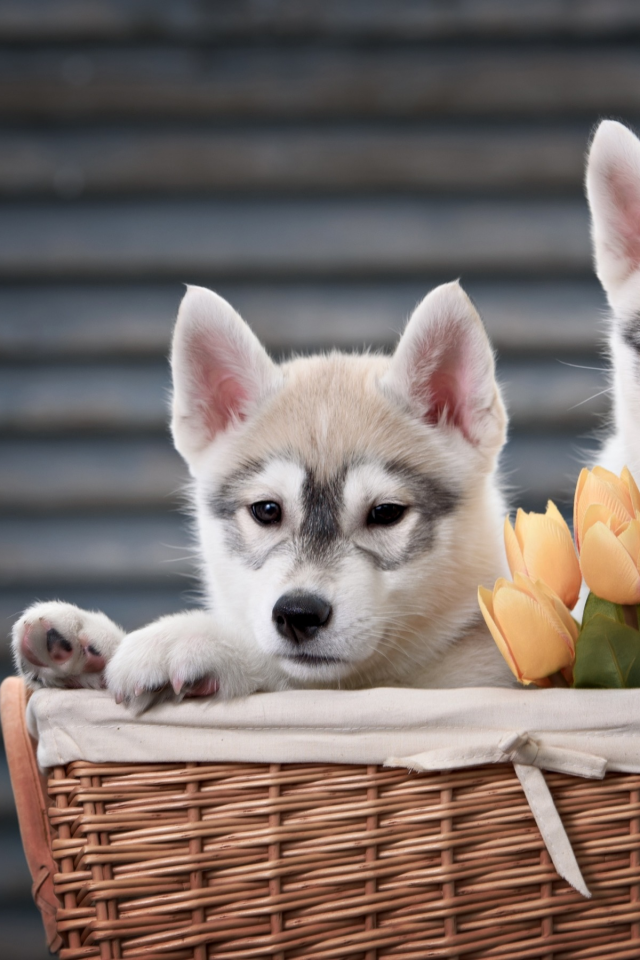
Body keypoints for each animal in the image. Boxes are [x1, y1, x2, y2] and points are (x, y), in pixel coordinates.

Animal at [11, 280, 516, 704]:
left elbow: (287, 673)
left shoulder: (468, 676)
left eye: (386, 512)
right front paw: (87, 644)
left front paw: (192, 639)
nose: (298, 614)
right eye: (267, 510)